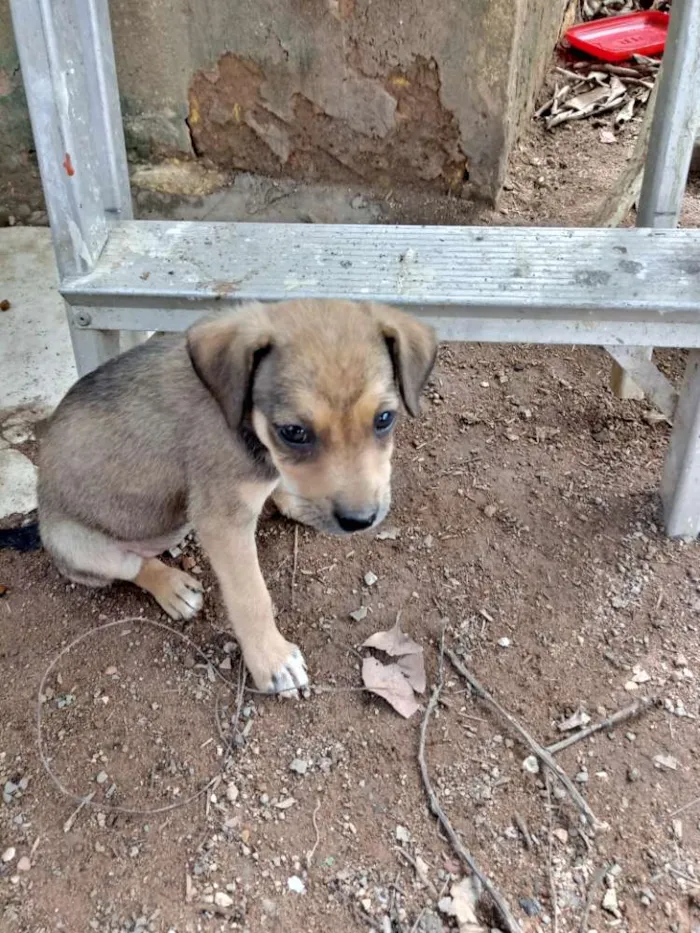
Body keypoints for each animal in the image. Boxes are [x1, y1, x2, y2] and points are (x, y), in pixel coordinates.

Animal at [38, 298, 434, 692]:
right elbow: (251, 596)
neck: (242, 417)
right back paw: (173, 587)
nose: (360, 520)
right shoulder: (223, 522)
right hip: (77, 546)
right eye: (293, 432)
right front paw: (272, 660)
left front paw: (294, 503)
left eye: (384, 418)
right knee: (134, 565)